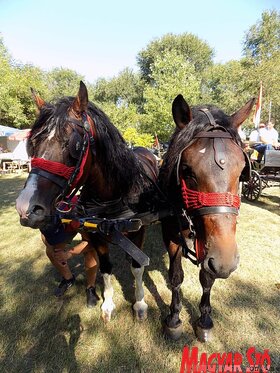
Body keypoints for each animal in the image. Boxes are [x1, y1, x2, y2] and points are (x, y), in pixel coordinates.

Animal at [16, 80, 159, 320]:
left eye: (72, 143)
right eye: (33, 143)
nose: (26, 207)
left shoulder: (139, 230)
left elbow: (137, 267)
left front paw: (139, 303)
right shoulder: (97, 234)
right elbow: (106, 267)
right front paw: (108, 304)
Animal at [159, 93, 255, 340]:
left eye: (242, 171)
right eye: (187, 170)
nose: (225, 262)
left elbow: (207, 278)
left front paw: (204, 319)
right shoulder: (171, 236)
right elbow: (176, 276)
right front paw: (174, 317)